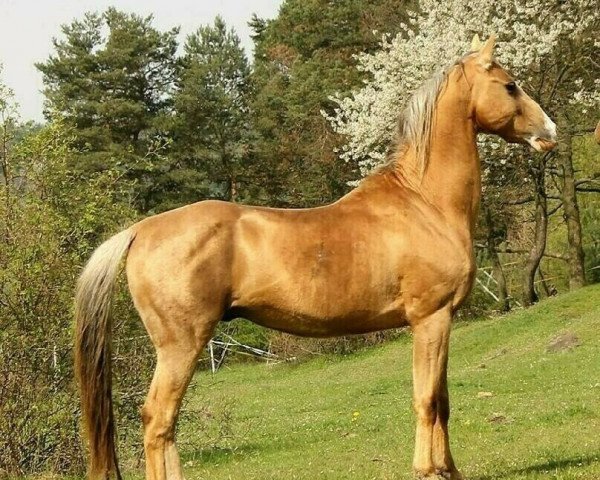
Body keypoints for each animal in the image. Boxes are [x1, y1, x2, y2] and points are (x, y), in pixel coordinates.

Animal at [76, 36, 556, 480]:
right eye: (510, 85)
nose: (549, 133)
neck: (424, 202)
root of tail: (141, 230)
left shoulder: (440, 321)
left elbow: (444, 400)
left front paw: (449, 469)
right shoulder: (431, 318)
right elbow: (428, 400)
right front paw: (428, 470)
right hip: (181, 345)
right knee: (158, 421)